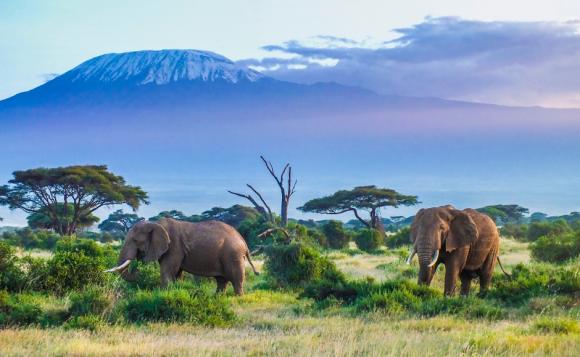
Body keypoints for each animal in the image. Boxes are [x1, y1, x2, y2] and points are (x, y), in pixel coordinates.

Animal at [105, 217, 258, 294]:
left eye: (136, 240)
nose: (138, 271)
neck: (155, 224)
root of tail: (243, 241)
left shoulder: (174, 247)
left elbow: (167, 272)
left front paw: (164, 294)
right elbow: (176, 274)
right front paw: (174, 291)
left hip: (233, 255)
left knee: (236, 279)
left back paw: (238, 298)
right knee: (221, 280)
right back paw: (218, 298)